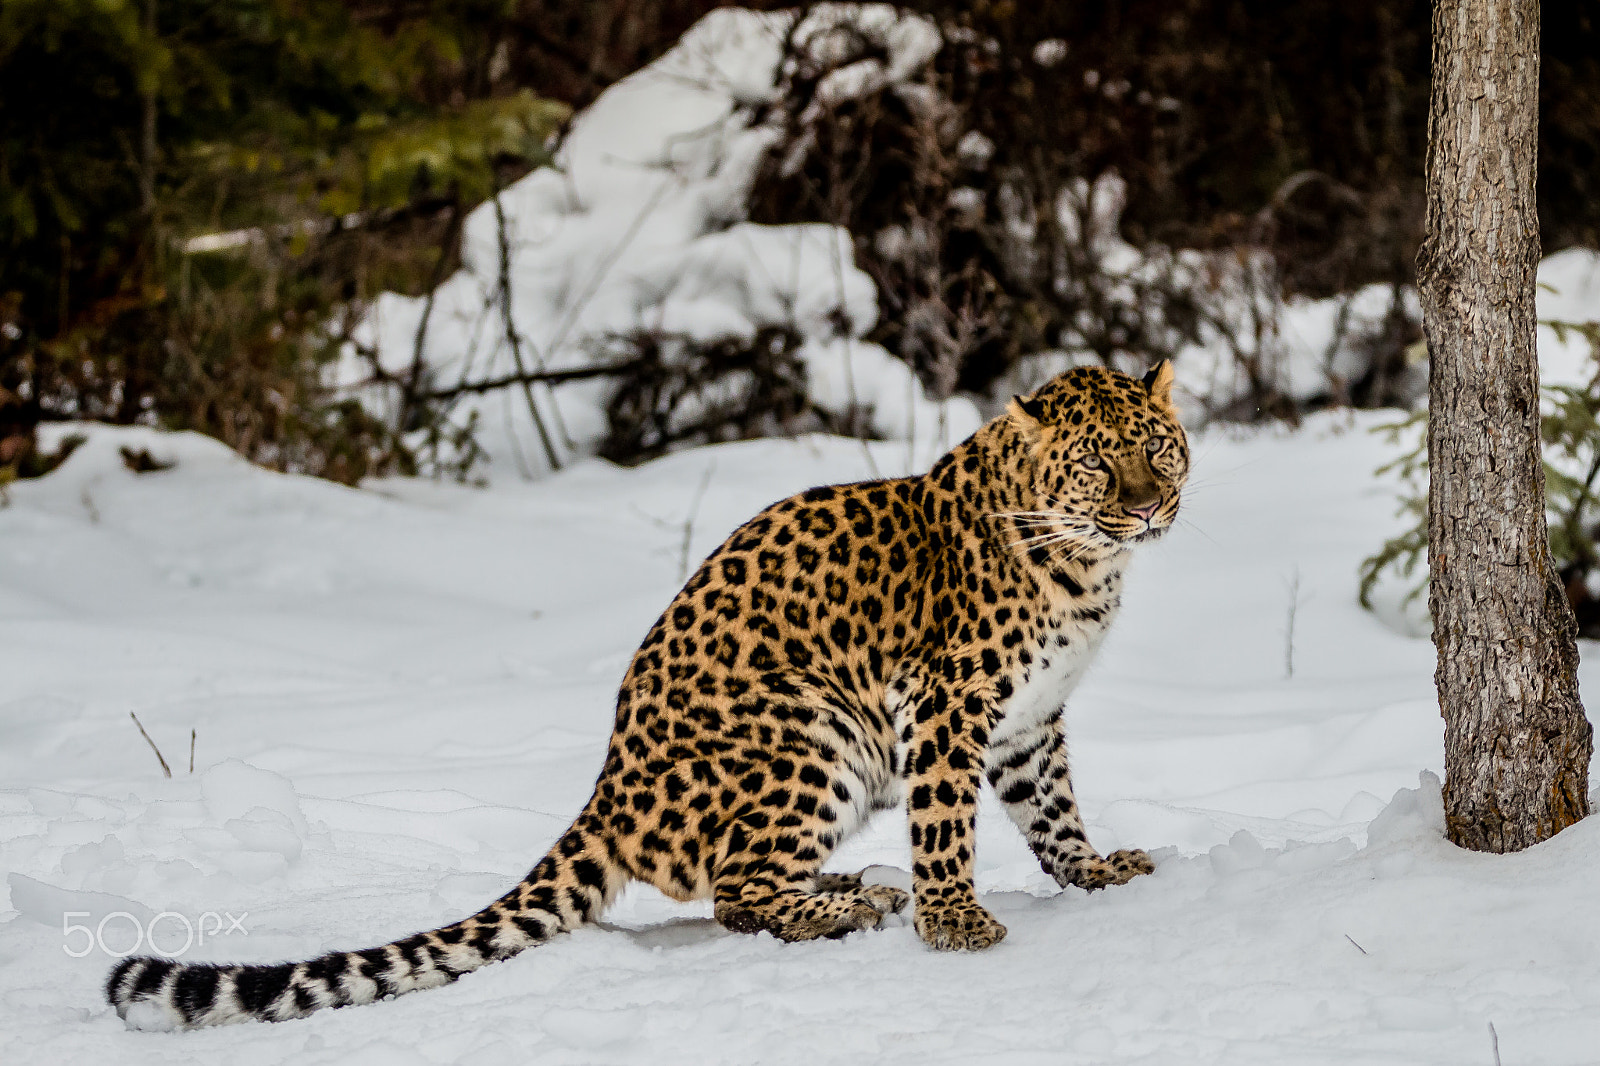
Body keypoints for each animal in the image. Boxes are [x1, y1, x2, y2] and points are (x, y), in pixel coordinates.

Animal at [107, 361, 1189, 1030]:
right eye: (1098, 460)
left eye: (1158, 447)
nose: (1147, 505)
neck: (1089, 569)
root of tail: (605, 791)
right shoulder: (947, 704)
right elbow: (946, 823)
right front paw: (956, 922)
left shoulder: (1029, 720)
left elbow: (1052, 812)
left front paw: (1096, 872)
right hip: (814, 728)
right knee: (737, 894)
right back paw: (849, 906)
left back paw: (852, 884)